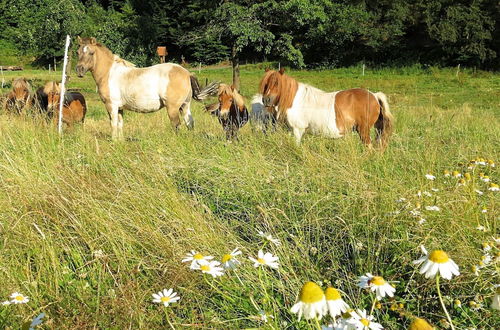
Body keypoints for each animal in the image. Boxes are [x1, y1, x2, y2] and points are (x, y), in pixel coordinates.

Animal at [75, 36, 219, 140]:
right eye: (77, 52)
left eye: (91, 53)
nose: (79, 70)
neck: (110, 73)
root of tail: (187, 73)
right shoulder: (120, 108)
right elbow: (120, 124)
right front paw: (120, 141)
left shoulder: (111, 105)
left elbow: (113, 124)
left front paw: (114, 141)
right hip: (185, 105)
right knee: (189, 122)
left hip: (172, 108)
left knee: (176, 125)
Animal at [258, 68, 394, 147]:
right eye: (266, 83)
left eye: (277, 83)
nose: (266, 100)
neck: (295, 100)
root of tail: (375, 95)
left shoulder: (298, 130)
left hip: (363, 130)